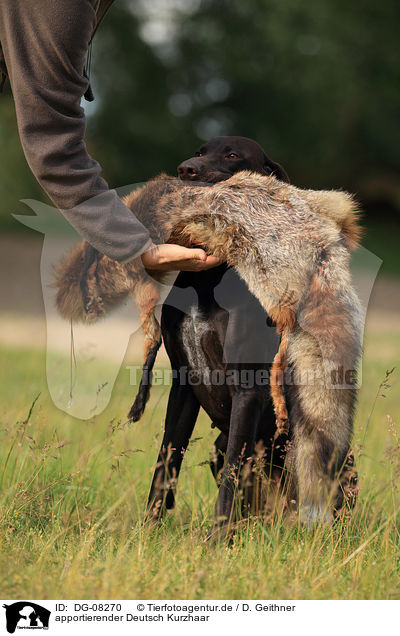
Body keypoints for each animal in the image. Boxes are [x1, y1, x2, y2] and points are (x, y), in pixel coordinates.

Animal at [145, 135, 290, 532]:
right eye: (198, 152)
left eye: (233, 156)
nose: (185, 169)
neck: (208, 279)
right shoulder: (183, 384)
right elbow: (165, 463)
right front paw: (146, 532)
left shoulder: (247, 389)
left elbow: (229, 481)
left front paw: (217, 540)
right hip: (217, 448)